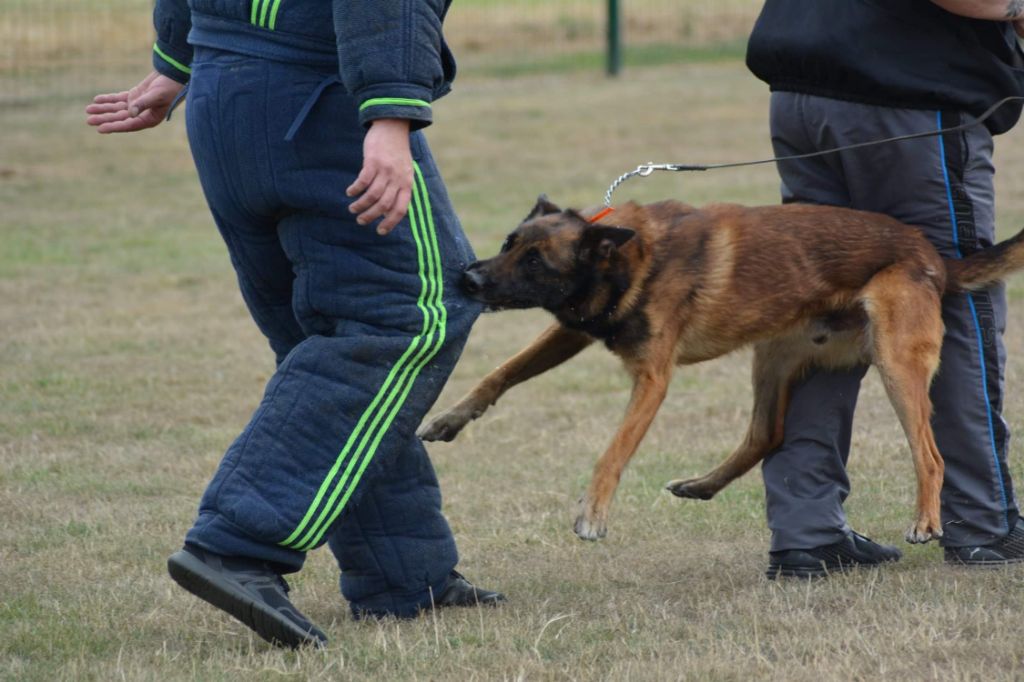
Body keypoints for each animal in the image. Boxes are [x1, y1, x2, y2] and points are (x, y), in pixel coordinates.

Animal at [418, 196, 1024, 542]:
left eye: (536, 262)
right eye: (508, 244)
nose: (469, 279)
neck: (632, 258)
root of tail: (934, 256)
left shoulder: (652, 380)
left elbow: (611, 454)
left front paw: (593, 514)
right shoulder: (572, 331)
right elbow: (500, 372)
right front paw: (450, 418)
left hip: (895, 365)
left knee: (931, 454)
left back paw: (926, 522)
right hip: (773, 358)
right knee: (765, 435)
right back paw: (702, 485)